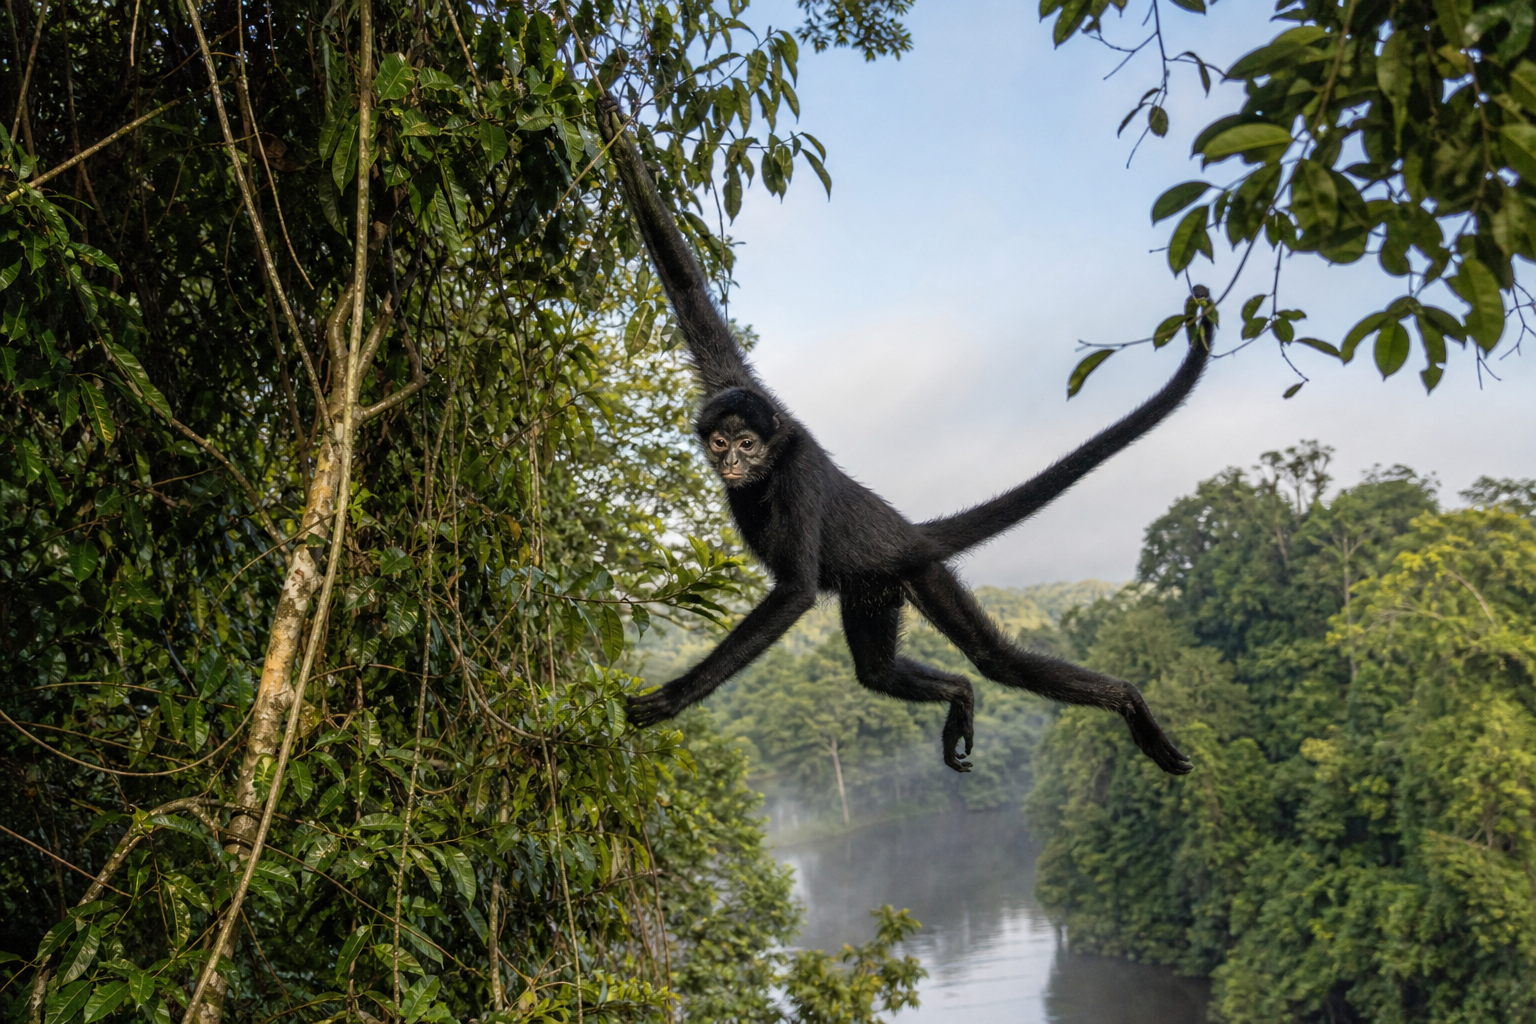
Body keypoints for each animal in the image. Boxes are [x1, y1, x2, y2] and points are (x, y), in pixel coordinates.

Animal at [597, 96, 1210, 775]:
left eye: (749, 445)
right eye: (720, 442)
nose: (732, 461)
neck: (771, 457)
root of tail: (905, 533)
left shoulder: (797, 469)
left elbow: (796, 591)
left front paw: (674, 697)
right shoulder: (734, 387)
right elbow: (686, 287)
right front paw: (613, 129)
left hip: (915, 571)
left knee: (994, 660)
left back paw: (1128, 702)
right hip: (875, 591)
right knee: (880, 672)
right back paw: (960, 694)